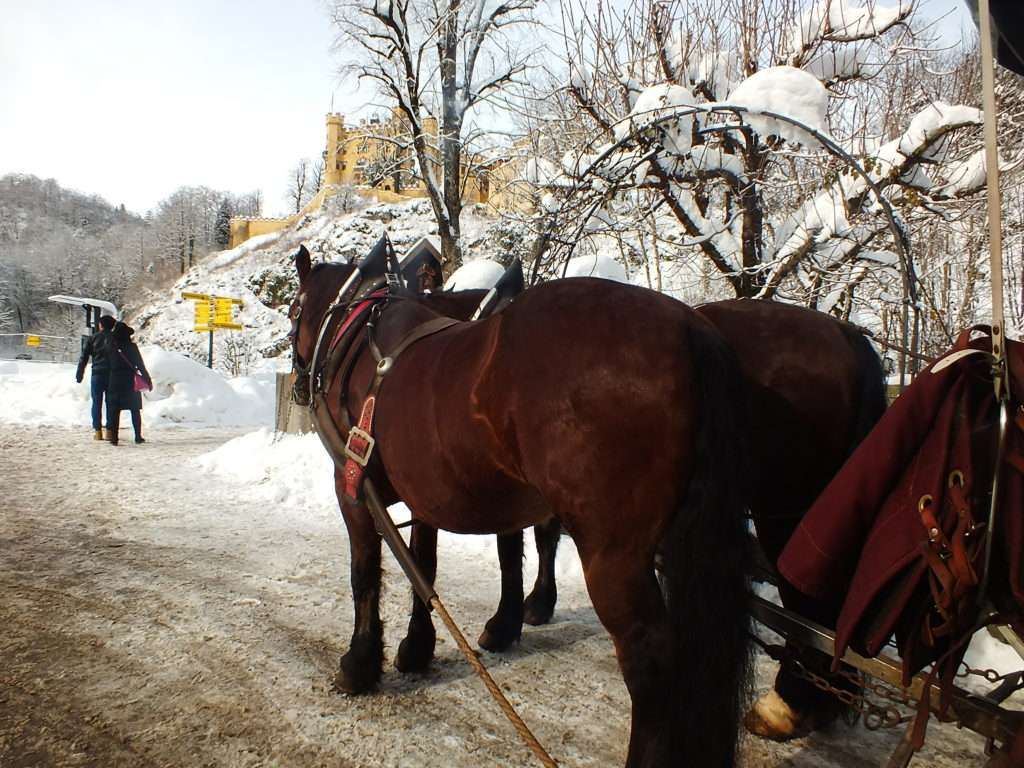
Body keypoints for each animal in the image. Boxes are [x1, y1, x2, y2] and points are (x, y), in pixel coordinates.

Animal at [292, 249, 757, 765]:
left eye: (293, 311)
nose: (299, 383)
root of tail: (691, 329)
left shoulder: (352, 488)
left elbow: (365, 574)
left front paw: (359, 663)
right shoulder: (425, 496)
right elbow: (424, 569)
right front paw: (418, 648)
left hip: (613, 554)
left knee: (649, 659)